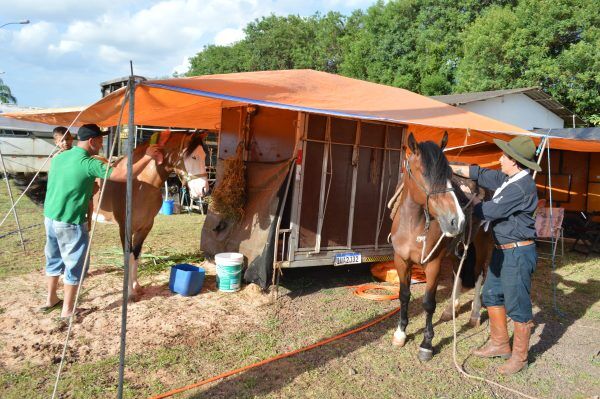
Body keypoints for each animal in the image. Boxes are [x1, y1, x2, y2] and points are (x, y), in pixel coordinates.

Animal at [92, 131, 209, 300]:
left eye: (204, 155)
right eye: (193, 156)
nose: (204, 190)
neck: (140, 184)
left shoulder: (145, 228)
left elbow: (136, 255)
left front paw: (136, 287)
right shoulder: (125, 228)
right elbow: (128, 256)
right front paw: (129, 293)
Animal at [390, 134, 492, 362]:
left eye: (448, 175)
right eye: (424, 173)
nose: (457, 220)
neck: (413, 225)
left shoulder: (433, 264)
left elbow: (428, 303)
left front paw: (426, 344)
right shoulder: (401, 261)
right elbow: (404, 295)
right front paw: (400, 333)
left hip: (483, 244)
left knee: (480, 275)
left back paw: (475, 314)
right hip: (458, 250)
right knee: (458, 274)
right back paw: (451, 308)